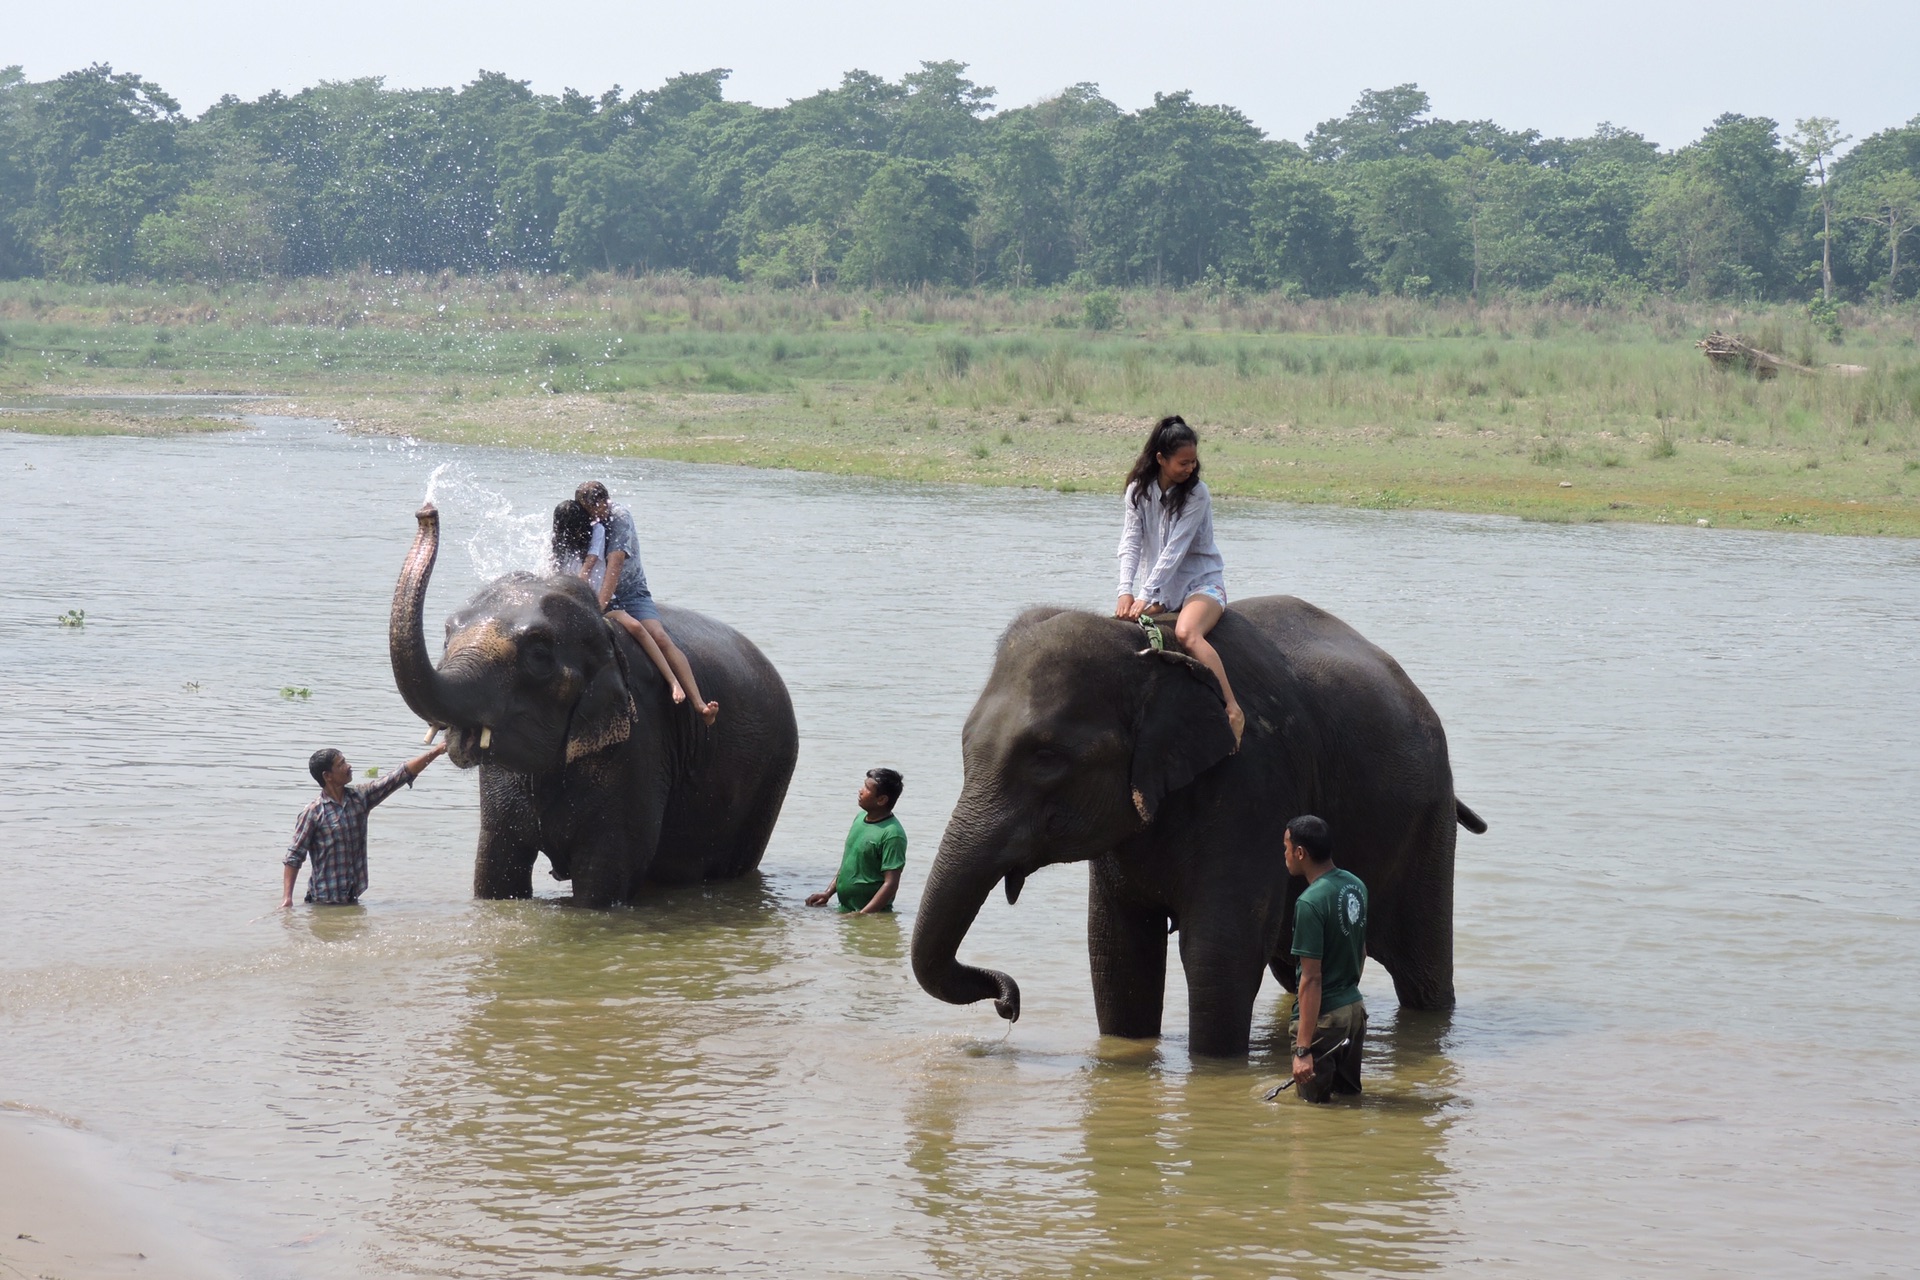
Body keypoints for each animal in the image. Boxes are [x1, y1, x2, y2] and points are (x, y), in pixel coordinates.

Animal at [389, 506, 794, 905]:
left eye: (539, 655)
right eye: (447, 634)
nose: (426, 512)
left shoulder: (641, 744)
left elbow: (603, 880)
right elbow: (496, 870)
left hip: (770, 782)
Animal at [913, 602, 1482, 1059]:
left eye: (1047, 757)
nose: (1009, 1005)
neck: (1146, 647)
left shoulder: (1253, 785)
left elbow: (1218, 954)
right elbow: (1119, 951)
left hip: (1427, 824)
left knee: (1423, 972)